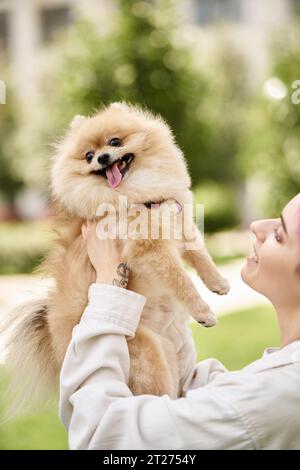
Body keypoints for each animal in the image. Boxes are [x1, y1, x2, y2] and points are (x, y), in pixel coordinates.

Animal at [1, 103, 230, 404]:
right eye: (88, 155)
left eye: (115, 142)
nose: (102, 157)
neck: (135, 195)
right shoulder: (151, 248)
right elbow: (182, 281)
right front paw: (203, 311)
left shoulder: (180, 224)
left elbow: (201, 256)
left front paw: (219, 283)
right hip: (146, 353)